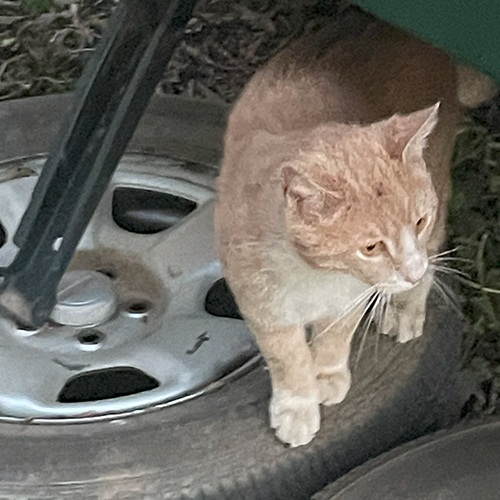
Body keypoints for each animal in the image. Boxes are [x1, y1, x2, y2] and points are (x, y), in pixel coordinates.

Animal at [215, 6, 492, 446]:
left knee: (433, 255)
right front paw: (298, 404)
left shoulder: (353, 294)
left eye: (418, 220)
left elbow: (336, 334)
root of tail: (400, 33)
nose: (411, 272)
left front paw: (327, 375)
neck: (315, 276)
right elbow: (287, 354)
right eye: (371, 247)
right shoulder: (259, 300)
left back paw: (407, 307)